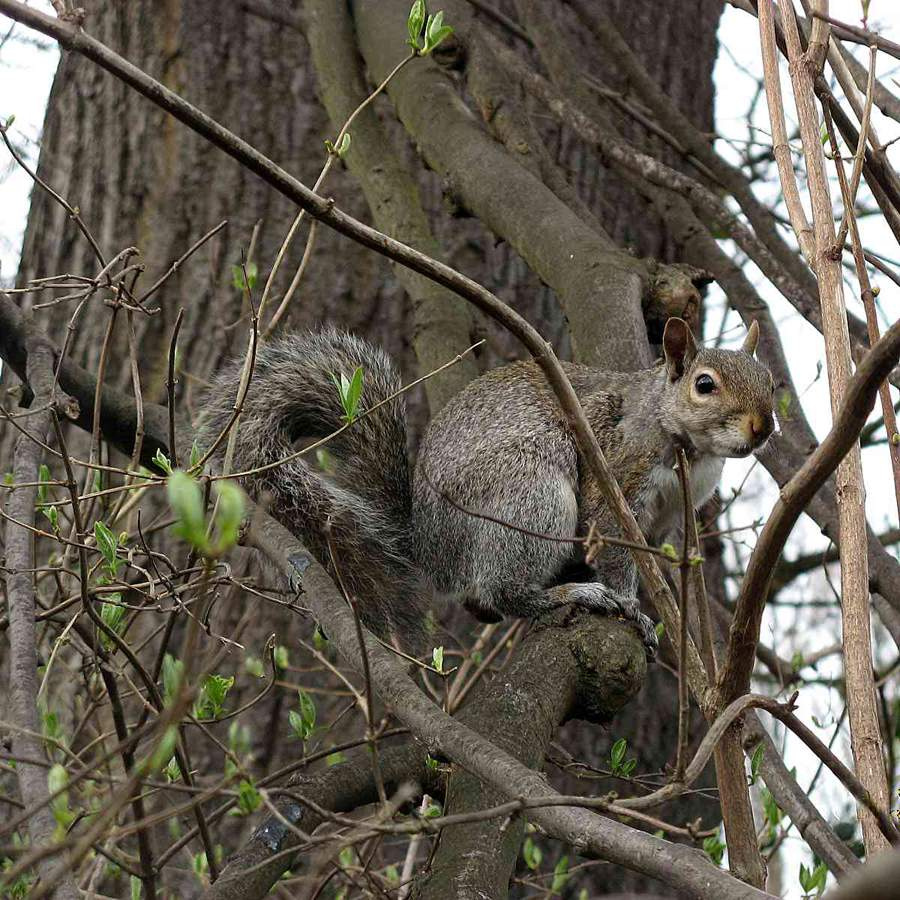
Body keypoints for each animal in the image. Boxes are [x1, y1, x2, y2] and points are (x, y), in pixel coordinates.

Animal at [201, 318, 775, 657]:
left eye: (770, 382)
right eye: (704, 385)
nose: (763, 426)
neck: (691, 452)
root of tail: (429, 544)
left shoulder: (665, 516)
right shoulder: (615, 476)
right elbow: (613, 547)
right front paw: (630, 603)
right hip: (531, 496)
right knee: (504, 590)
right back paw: (568, 592)